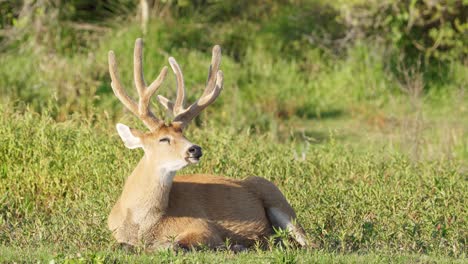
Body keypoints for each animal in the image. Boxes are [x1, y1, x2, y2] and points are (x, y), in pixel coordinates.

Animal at [107, 38, 308, 251]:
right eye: (164, 138)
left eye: (183, 133)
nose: (195, 149)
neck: (142, 224)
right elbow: (123, 245)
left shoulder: (203, 226)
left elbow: (176, 245)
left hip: (275, 196)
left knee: (309, 242)